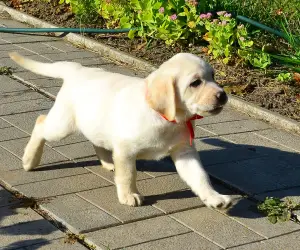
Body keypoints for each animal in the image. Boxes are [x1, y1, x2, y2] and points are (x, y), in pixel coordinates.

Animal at [8, 52, 230, 209]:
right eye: (195, 83)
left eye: (213, 76)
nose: (223, 95)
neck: (167, 118)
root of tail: (77, 70)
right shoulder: (126, 149)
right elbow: (128, 174)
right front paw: (128, 195)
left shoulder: (184, 151)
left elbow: (200, 176)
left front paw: (214, 198)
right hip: (63, 124)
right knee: (40, 123)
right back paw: (29, 159)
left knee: (97, 140)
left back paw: (108, 162)